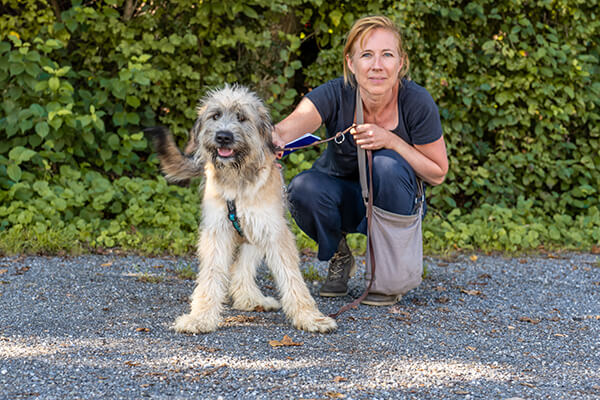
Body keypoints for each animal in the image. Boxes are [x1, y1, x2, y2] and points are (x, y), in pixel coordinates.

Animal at [146, 85, 337, 333]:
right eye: (215, 116)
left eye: (242, 118)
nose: (223, 136)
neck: (237, 179)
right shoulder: (216, 231)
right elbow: (210, 274)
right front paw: (200, 317)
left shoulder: (272, 229)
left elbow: (291, 276)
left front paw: (309, 317)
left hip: (253, 233)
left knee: (242, 268)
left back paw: (250, 299)